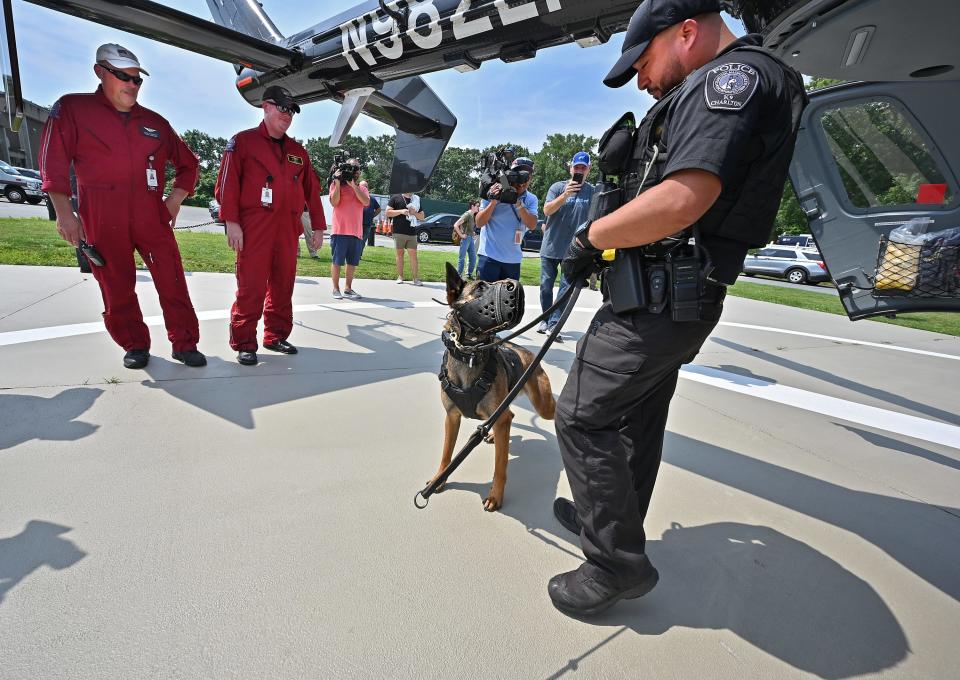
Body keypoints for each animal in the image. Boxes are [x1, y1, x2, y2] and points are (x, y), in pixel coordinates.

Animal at [428, 264, 556, 510]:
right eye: (479, 287)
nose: (515, 285)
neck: (469, 355)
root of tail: (528, 353)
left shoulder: (498, 420)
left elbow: (500, 465)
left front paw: (495, 496)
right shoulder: (452, 417)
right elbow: (447, 454)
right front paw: (439, 478)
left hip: (544, 407)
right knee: (509, 415)